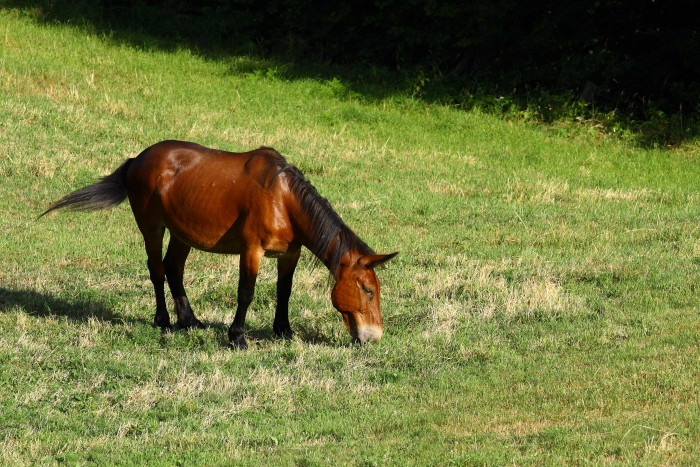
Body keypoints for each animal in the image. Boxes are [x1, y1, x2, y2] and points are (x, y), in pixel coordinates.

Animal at [41, 141, 396, 350]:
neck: (283, 199)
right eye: (368, 290)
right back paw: (164, 321)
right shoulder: (252, 250)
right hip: (152, 227)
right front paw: (237, 337)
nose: (374, 337)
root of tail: (137, 159)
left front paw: (283, 330)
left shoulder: (289, 254)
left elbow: (284, 291)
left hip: (182, 232)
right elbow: (246, 292)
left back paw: (189, 321)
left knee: (173, 269)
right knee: (156, 270)